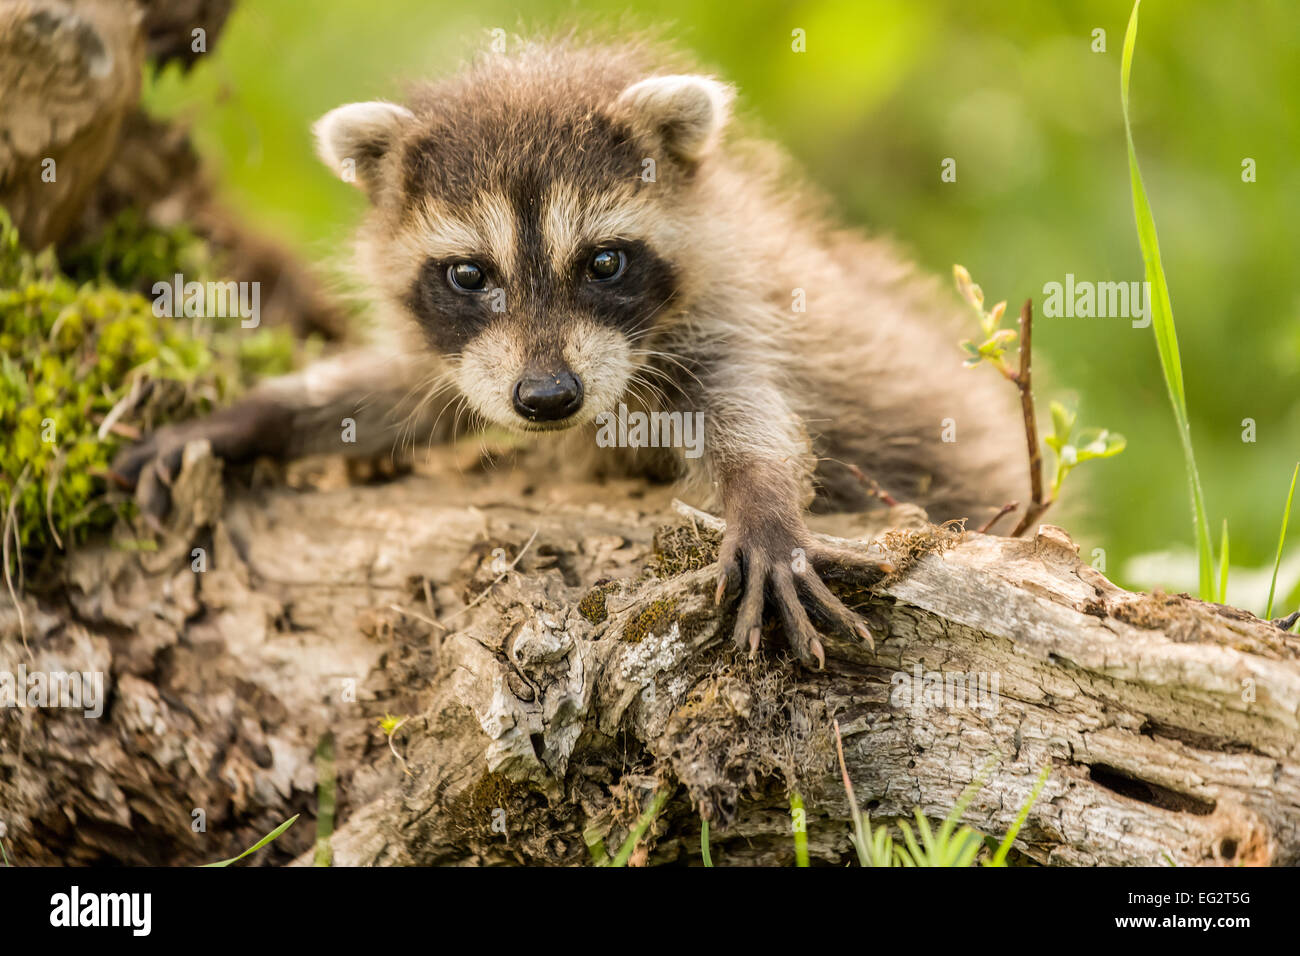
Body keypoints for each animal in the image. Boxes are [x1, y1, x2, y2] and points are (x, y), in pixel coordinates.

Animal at [114, 35, 1024, 665]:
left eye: (605, 262)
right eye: (469, 274)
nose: (549, 399)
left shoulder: (735, 317)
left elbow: (752, 413)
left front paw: (766, 508)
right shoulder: (472, 358)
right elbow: (402, 392)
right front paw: (255, 417)